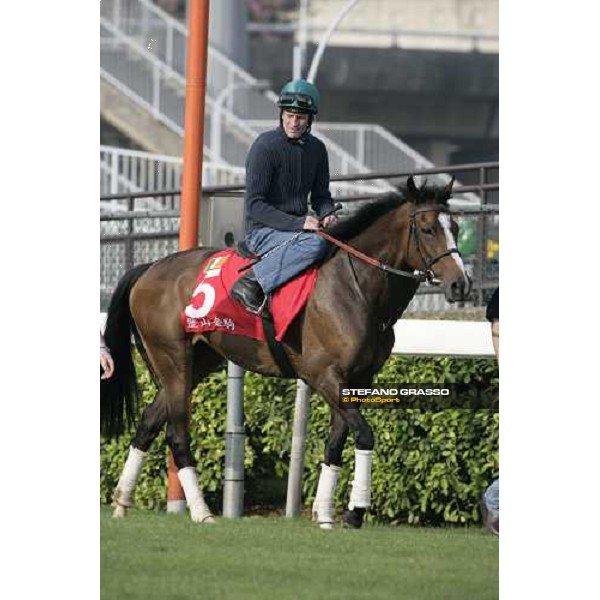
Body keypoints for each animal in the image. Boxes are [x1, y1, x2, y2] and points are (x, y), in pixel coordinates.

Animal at [102, 176, 468, 528]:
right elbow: (364, 435)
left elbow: (335, 443)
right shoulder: (325, 376)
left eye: (456, 226)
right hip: (173, 359)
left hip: (198, 361)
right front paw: (355, 512)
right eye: (428, 229)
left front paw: (325, 514)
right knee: (176, 435)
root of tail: (149, 268)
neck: (356, 289)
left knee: (148, 423)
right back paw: (201, 512)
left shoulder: (358, 380)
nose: (461, 284)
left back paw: (122, 502)